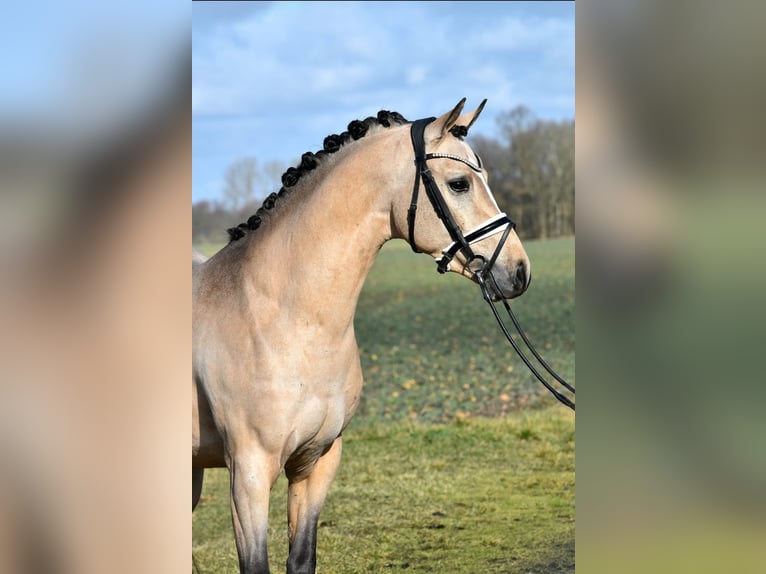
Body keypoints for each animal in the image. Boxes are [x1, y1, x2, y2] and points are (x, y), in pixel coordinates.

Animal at [192, 101, 532, 572]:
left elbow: (302, 558)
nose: (518, 271)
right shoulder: (249, 474)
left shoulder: (316, 462)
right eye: (459, 183)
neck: (285, 319)